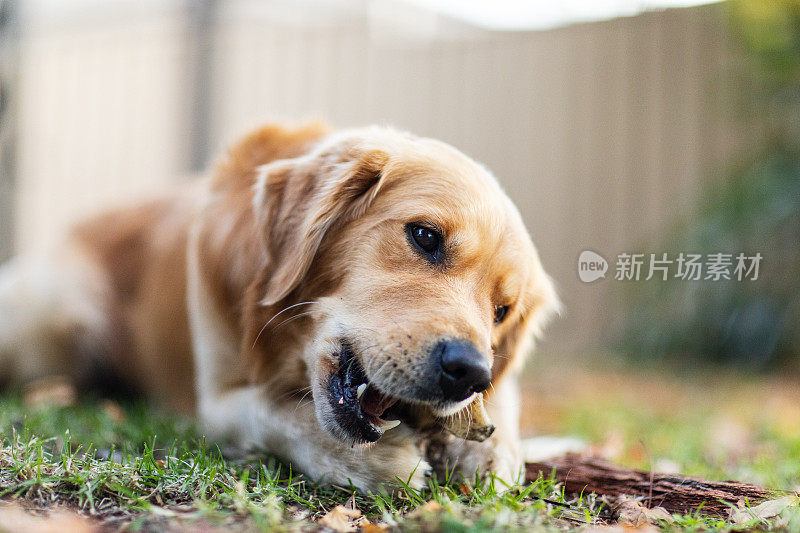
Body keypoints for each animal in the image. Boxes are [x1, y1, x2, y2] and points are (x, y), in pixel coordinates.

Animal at [0, 122, 556, 488]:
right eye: (425, 236)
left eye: (502, 313)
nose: (469, 372)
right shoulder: (217, 397)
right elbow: (271, 413)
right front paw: (374, 462)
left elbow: (505, 405)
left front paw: (491, 451)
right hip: (54, 312)